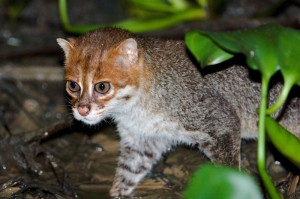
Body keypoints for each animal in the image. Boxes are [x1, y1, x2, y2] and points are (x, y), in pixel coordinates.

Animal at [56, 27, 300, 197]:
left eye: (102, 87)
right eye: (73, 85)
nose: (82, 110)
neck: (135, 108)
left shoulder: (221, 122)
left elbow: (229, 170)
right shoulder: (142, 140)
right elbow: (126, 176)